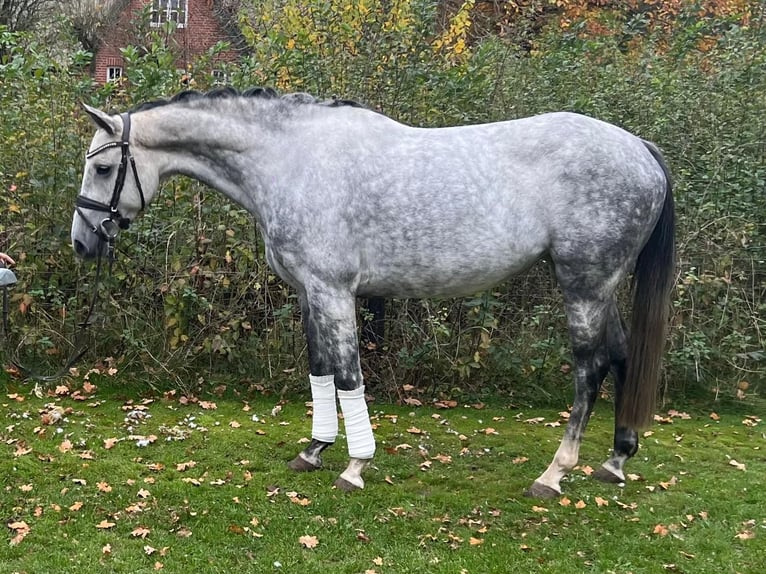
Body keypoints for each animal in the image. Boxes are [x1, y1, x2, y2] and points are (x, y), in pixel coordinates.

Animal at [69, 86, 676, 500]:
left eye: (104, 168)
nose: (81, 242)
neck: (290, 160)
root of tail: (640, 149)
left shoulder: (334, 292)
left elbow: (347, 375)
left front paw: (355, 466)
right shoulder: (309, 293)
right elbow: (318, 370)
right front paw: (314, 450)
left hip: (584, 284)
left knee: (590, 367)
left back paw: (554, 474)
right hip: (602, 287)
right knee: (622, 355)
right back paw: (616, 460)